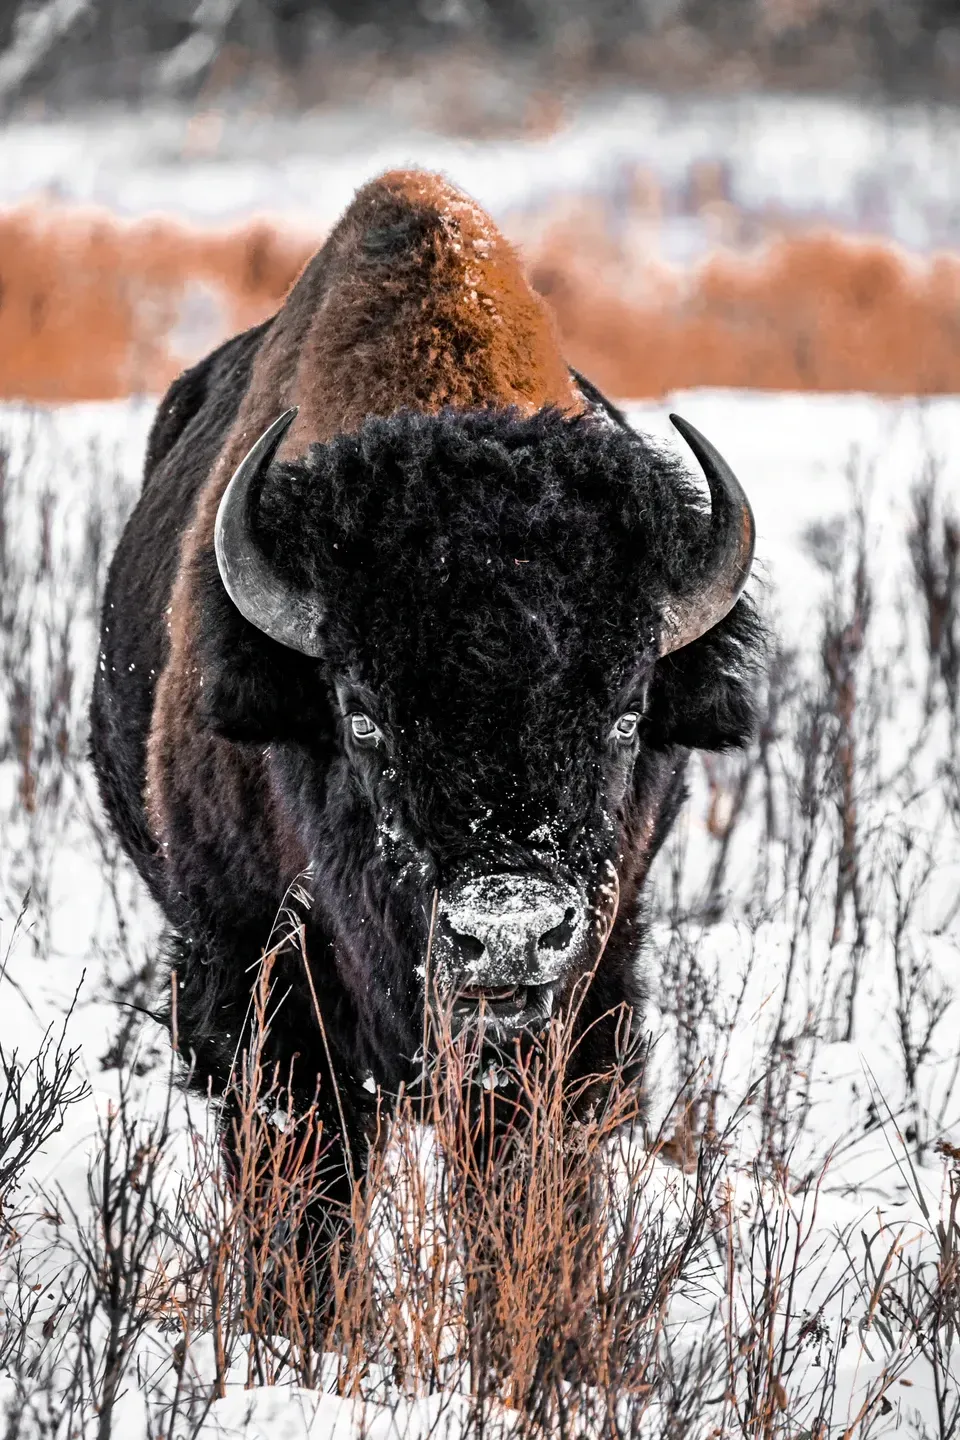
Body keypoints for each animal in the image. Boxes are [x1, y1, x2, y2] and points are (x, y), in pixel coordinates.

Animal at [90, 169, 761, 1295]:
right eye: (361, 716)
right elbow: (309, 1200)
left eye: (627, 715)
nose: (508, 930)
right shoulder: (261, 993)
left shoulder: (582, 1008)